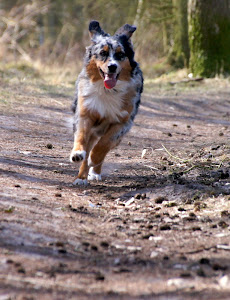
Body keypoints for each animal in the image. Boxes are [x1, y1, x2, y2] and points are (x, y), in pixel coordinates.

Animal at [69, 20, 143, 185]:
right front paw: (78, 153)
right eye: (102, 53)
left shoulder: (122, 122)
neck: (107, 91)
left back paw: (94, 172)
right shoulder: (85, 114)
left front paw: (93, 160)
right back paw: (81, 177)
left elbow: (103, 145)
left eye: (120, 54)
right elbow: (81, 137)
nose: (112, 66)